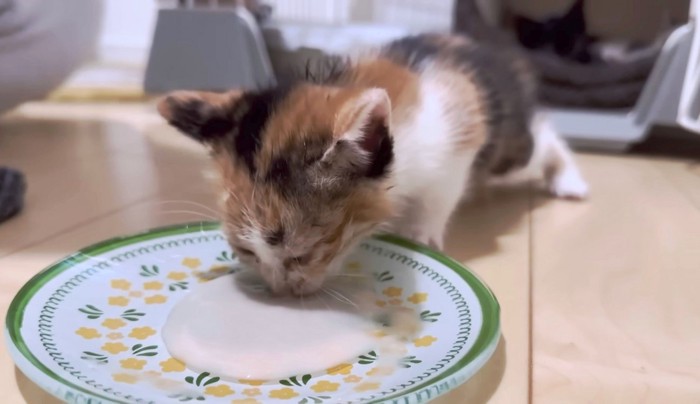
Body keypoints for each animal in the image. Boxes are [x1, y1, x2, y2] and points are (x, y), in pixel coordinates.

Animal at [157, 33, 584, 296]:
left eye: (302, 255)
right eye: (246, 253)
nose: (281, 291)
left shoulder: (460, 133)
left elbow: (440, 195)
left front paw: (420, 234)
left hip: (507, 149)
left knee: (542, 135)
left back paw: (569, 180)